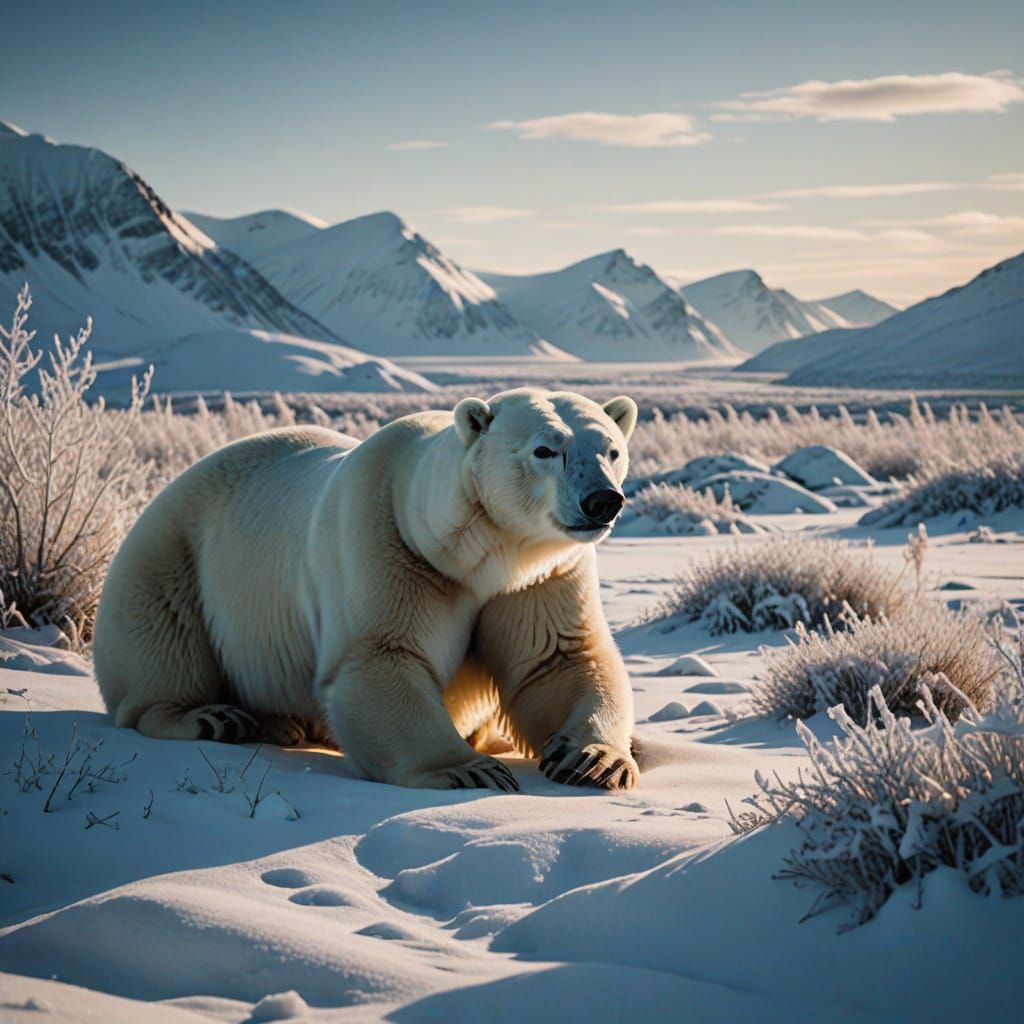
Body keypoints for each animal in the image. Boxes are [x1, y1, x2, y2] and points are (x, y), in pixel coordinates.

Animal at [92, 388, 640, 791]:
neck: (473, 553)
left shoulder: (540, 576)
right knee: (163, 645)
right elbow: (380, 656)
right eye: (545, 450)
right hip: (171, 554)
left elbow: (558, 660)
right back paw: (214, 718)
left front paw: (595, 759)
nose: (602, 501)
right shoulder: (388, 547)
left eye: (612, 450)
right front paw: (469, 770)